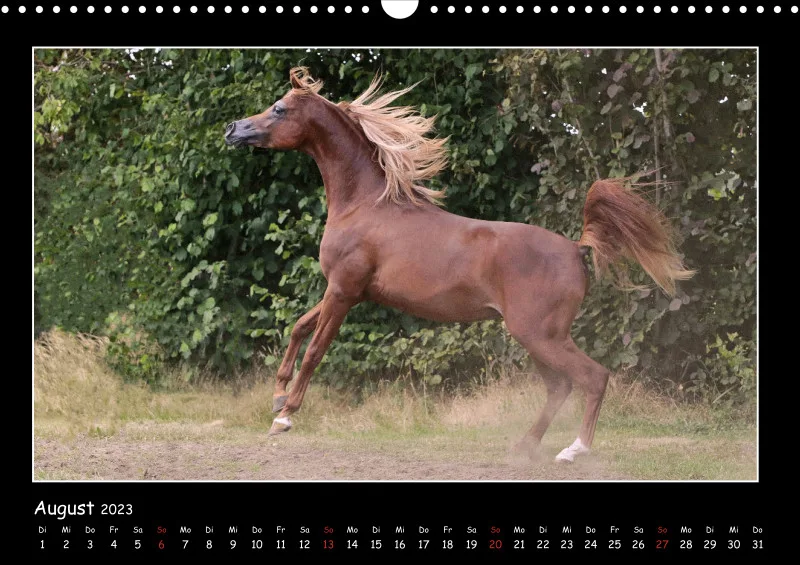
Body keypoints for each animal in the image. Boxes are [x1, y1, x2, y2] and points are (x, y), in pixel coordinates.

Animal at [224, 67, 694, 463]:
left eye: (280, 108)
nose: (233, 129)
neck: (364, 205)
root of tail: (576, 249)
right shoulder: (349, 291)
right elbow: (299, 328)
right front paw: (277, 395)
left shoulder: (344, 290)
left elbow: (315, 350)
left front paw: (284, 417)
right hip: (539, 336)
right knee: (559, 386)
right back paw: (524, 446)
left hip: (540, 334)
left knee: (593, 378)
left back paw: (572, 451)